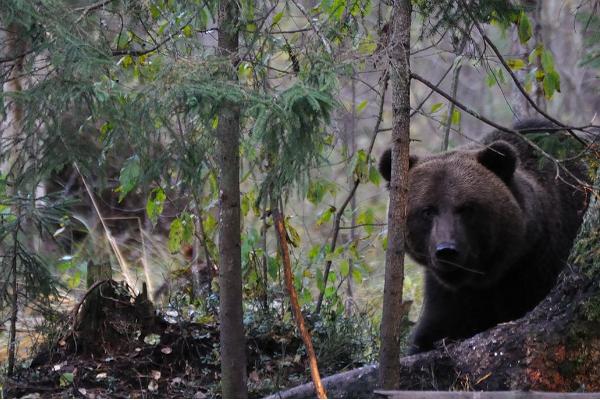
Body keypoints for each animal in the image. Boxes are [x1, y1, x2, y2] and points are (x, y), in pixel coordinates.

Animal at [380, 119, 584, 354]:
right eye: (427, 210)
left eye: (466, 208)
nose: (446, 251)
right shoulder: (448, 296)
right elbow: (432, 333)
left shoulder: (539, 266)